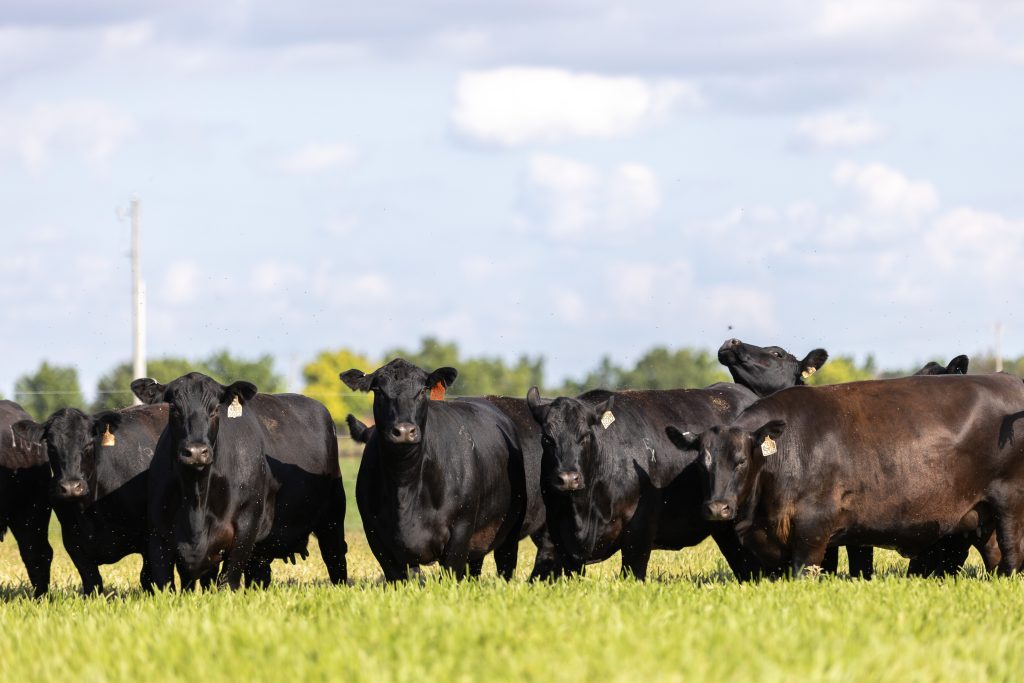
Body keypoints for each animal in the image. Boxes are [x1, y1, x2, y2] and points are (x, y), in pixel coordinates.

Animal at [12, 405, 167, 593]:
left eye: (88, 444)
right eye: (51, 446)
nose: (71, 487)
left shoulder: (149, 537)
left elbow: (147, 578)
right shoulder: (74, 542)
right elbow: (92, 582)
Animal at [132, 373, 347, 590]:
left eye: (215, 409)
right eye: (175, 408)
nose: (196, 451)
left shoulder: (246, 527)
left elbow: (228, 581)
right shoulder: (158, 535)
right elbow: (164, 585)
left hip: (332, 517)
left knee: (335, 558)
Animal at [341, 359, 529, 581]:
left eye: (423, 389)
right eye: (378, 390)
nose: (404, 431)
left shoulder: (460, 532)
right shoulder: (376, 536)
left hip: (509, 530)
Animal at [665, 373, 1024, 578]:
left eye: (740, 461)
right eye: (702, 464)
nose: (718, 508)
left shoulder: (813, 530)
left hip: (1009, 501)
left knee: (1011, 551)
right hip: (980, 513)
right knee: (994, 551)